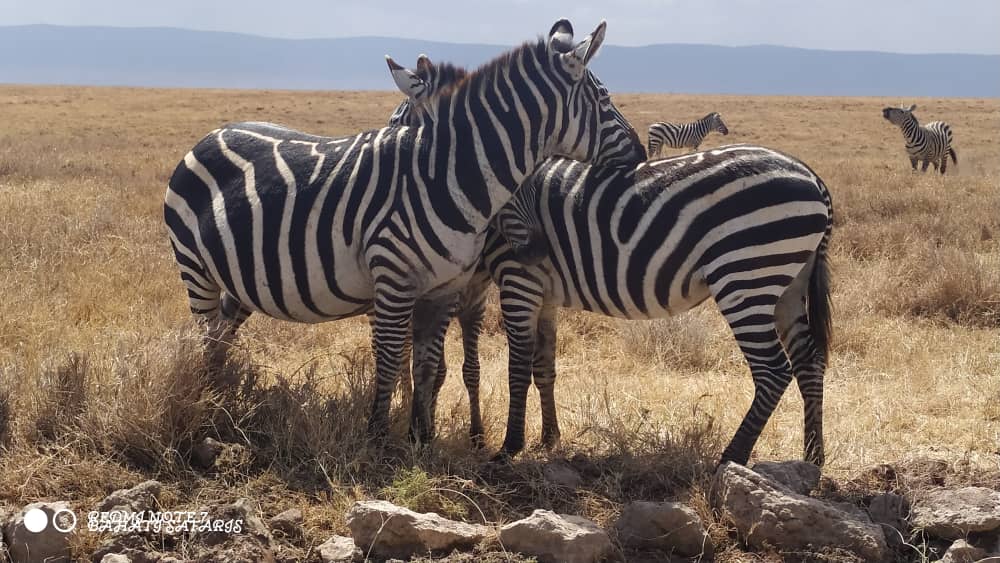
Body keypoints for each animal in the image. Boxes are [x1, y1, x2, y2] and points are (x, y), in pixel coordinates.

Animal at [162, 19, 648, 448]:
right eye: (604, 98)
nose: (641, 153)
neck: (447, 177)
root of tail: (212, 133)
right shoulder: (392, 281)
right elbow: (392, 358)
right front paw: (379, 436)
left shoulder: (445, 288)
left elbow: (428, 365)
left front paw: (421, 437)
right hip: (196, 270)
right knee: (207, 337)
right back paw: (210, 404)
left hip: (239, 279)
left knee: (222, 336)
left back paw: (223, 396)